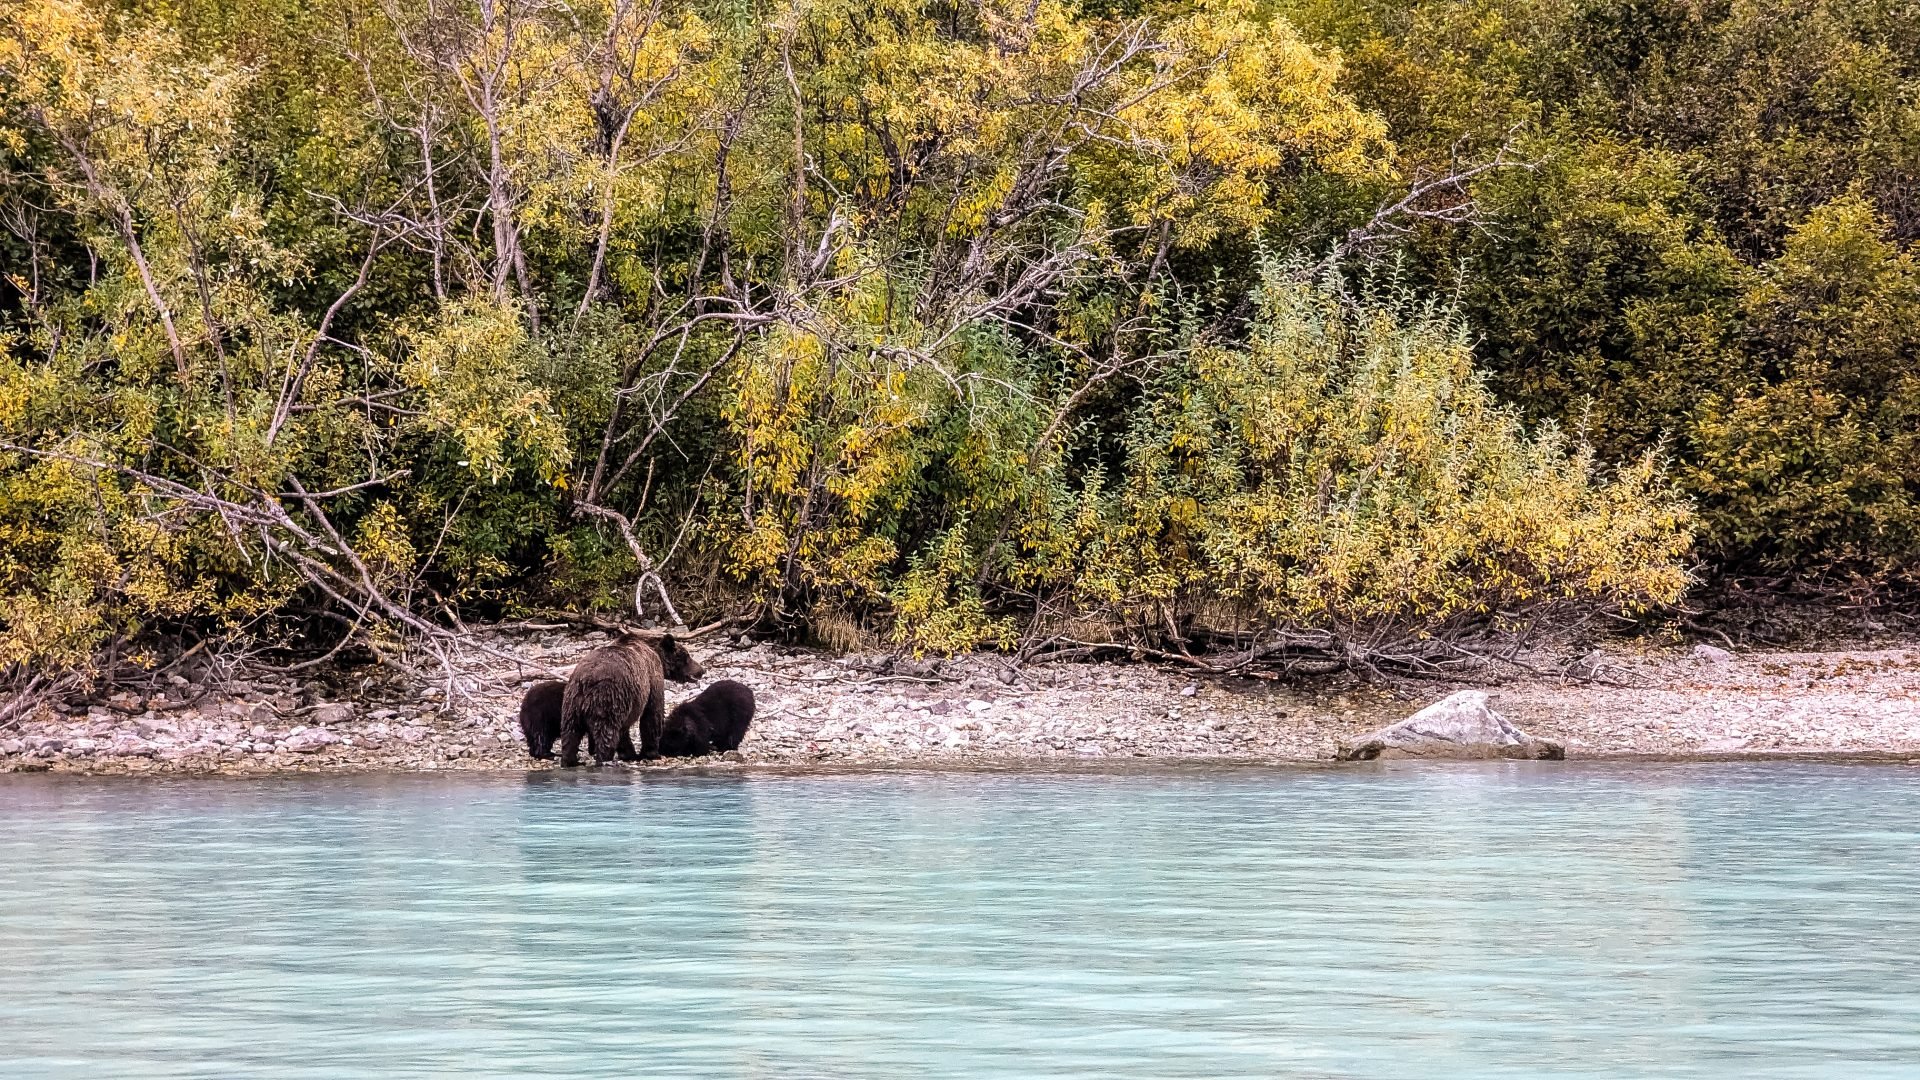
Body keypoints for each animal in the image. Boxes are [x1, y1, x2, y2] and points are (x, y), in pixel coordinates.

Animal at [560, 630, 706, 764]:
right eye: (686, 656)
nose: (701, 670)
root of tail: (586, 681)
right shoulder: (652, 676)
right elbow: (652, 713)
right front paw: (651, 753)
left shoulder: (628, 700)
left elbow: (624, 730)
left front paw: (629, 754)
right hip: (607, 698)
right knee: (606, 734)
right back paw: (604, 760)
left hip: (571, 703)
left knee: (570, 734)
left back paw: (569, 761)